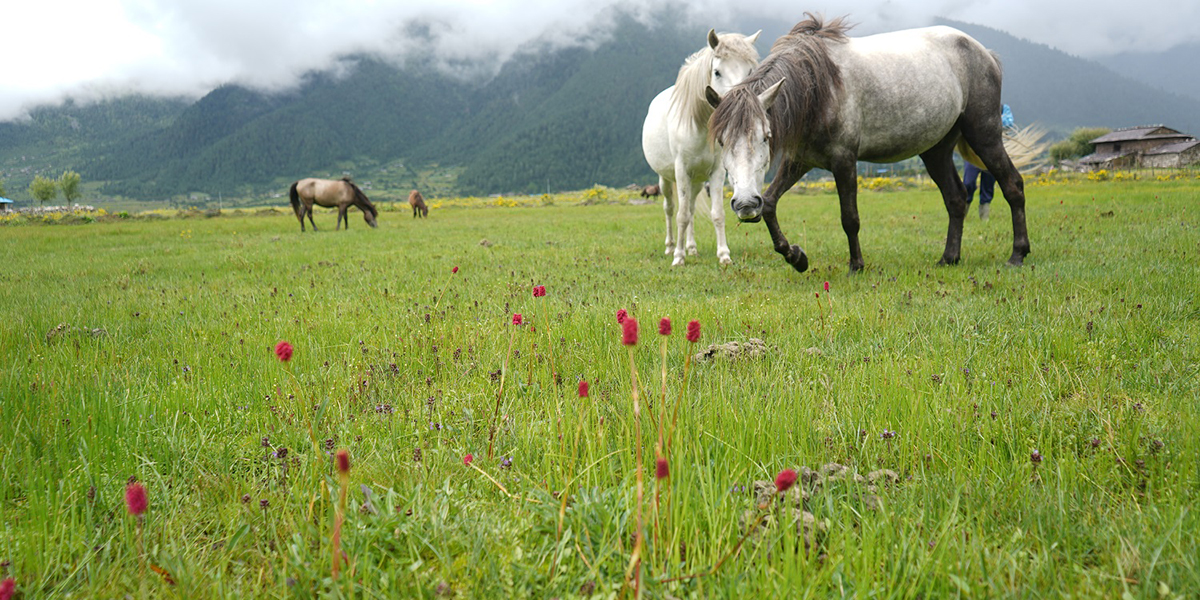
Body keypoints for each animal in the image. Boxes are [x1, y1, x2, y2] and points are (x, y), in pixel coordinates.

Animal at [643, 29, 753, 265]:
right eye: (717, 72)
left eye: (750, 70)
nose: (739, 106)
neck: (699, 126)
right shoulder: (681, 170)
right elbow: (681, 215)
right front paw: (678, 257)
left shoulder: (717, 172)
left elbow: (716, 214)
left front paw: (724, 255)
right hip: (666, 179)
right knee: (670, 208)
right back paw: (670, 247)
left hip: (696, 181)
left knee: (691, 208)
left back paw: (691, 247)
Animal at [710, 14, 1032, 272]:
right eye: (722, 142)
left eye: (765, 136)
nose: (745, 204)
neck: (819, 87)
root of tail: (984, 52)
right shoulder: (800, 161)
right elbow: (770, 204)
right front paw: (796, 257)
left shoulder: (844, 160)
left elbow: (849, 218)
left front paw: (856, 265)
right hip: (936, 150)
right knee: (956, 198)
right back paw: (949, 258)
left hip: (984, 134)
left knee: (1012, 185)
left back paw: (1017, 254)